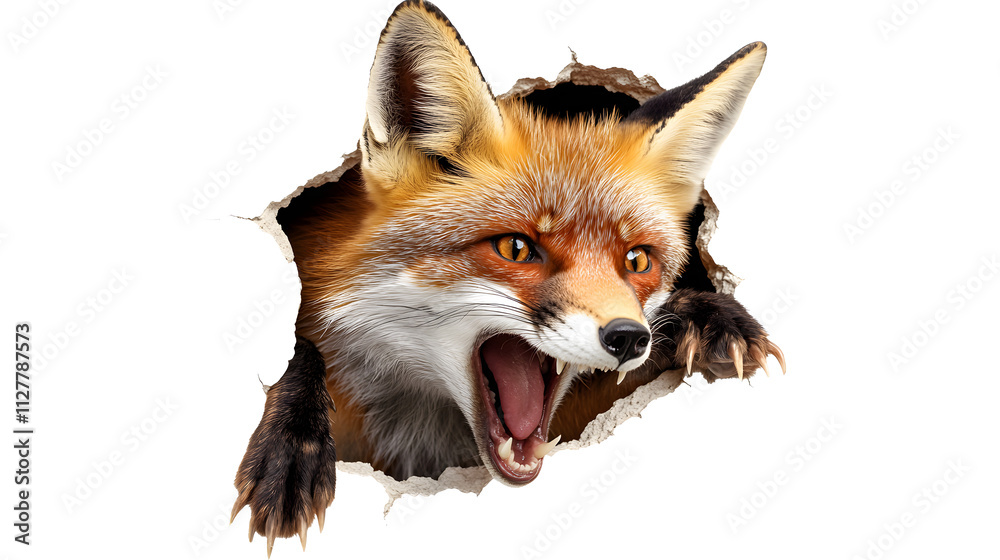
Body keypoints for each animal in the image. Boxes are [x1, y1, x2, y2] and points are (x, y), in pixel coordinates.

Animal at [231, 0, 785, 554]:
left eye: (637, 261)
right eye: (516, 248)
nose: (629, 338)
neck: (421, 422)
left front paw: (711, 317)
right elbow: (299, 349)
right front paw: (291, 449)